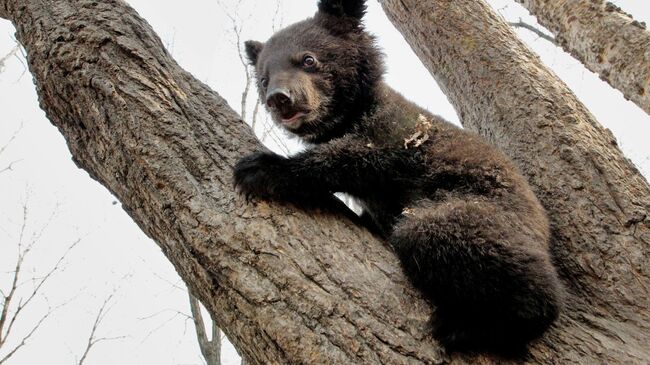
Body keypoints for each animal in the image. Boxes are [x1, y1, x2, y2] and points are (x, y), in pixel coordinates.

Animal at [234, 0, 560, 354]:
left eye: (308, 59)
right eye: (263, 79)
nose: (279, 99)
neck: (349, 116)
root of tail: (543, 226)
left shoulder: (396, 137)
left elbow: (352, 160)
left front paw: (261, 168)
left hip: (485, 205)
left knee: (432, 234)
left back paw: (469, 327)